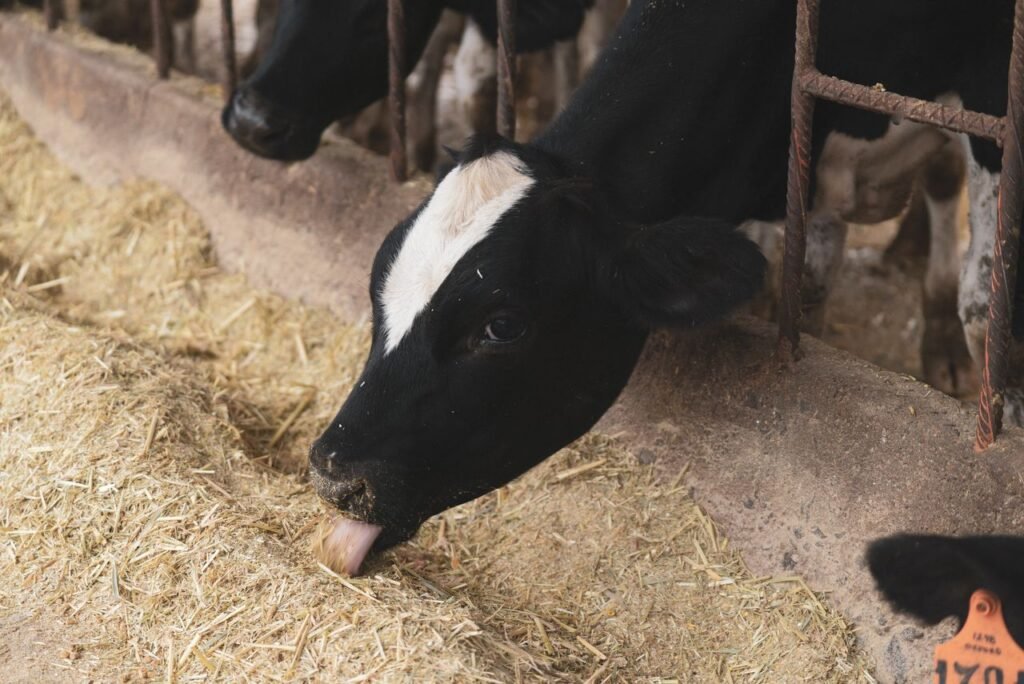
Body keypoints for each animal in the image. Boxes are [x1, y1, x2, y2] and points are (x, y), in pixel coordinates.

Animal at [305, 0, 1024, 574]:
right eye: (378, 288)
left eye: (501, 325)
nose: (333, 474)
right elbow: (807, 282)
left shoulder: (990, 94)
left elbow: (979, 295)